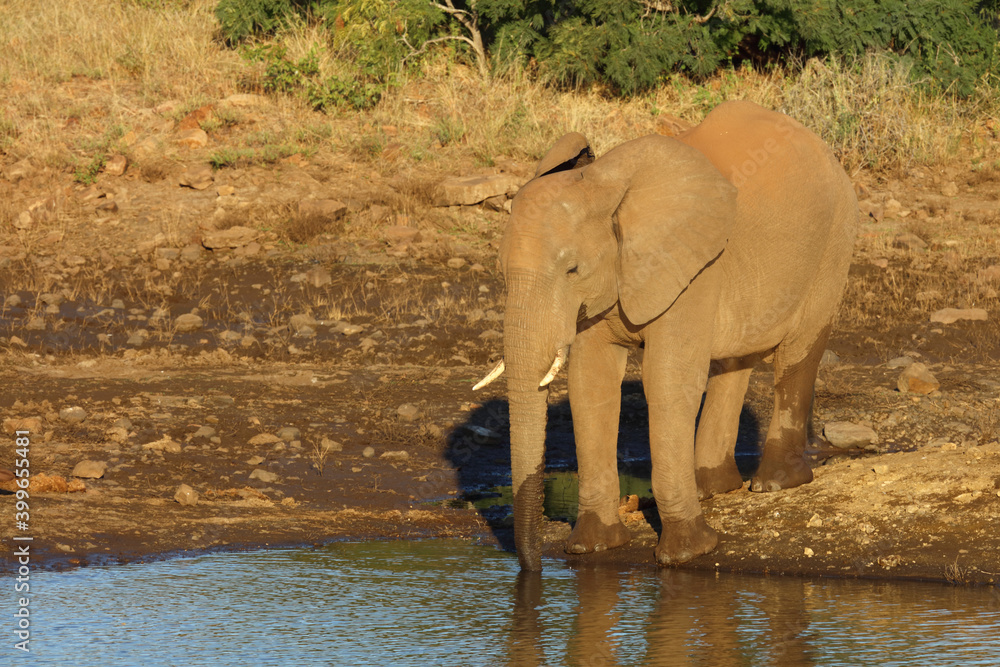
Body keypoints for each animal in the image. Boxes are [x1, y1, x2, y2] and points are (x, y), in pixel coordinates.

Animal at [475, 100, 857, 571]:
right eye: (501, 272)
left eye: (572, 270)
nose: (533, 567)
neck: (605, 186)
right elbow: (591, 386)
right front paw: (592, 548)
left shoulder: (694, 263)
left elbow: (667, 382)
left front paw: (687, 553)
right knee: (732, 362)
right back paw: (711, 487)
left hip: (834, 241)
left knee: (797, 352)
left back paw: (774, 484)